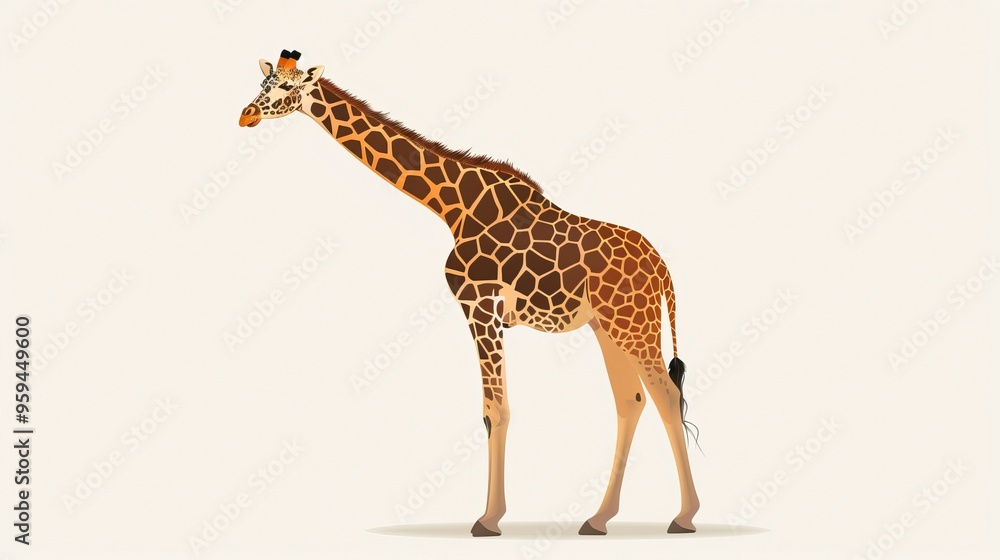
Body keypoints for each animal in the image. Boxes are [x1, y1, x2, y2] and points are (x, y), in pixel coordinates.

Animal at [239, 50, 700, 537]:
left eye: (288, 88)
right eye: (263, 82)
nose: (246, 115)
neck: (452, 206)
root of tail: (662, 270)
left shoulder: (480, 305)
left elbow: (494, 410)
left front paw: (488, 519)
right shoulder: (488, 309)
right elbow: (493, 409)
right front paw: (493, 515)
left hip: (633, 324)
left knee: (667, 395)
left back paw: (684, 517)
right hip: (607, 327)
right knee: (631, 401)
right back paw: (598, 519)